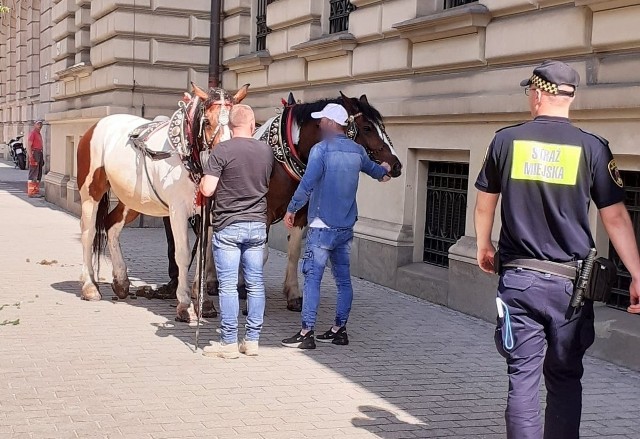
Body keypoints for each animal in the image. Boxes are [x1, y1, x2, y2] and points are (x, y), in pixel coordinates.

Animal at [77, 83, 250, 324]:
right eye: (207, 122)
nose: (227, 156)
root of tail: (96, 126)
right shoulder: (178, 212)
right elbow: (183, 255)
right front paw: (185, 305)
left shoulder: (208, 215)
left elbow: (204, 256)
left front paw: (204, 303)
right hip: (90, 194)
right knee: (88, 233)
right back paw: (90, 286)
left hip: (131, 199)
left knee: (111, 226)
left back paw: (121, 281)